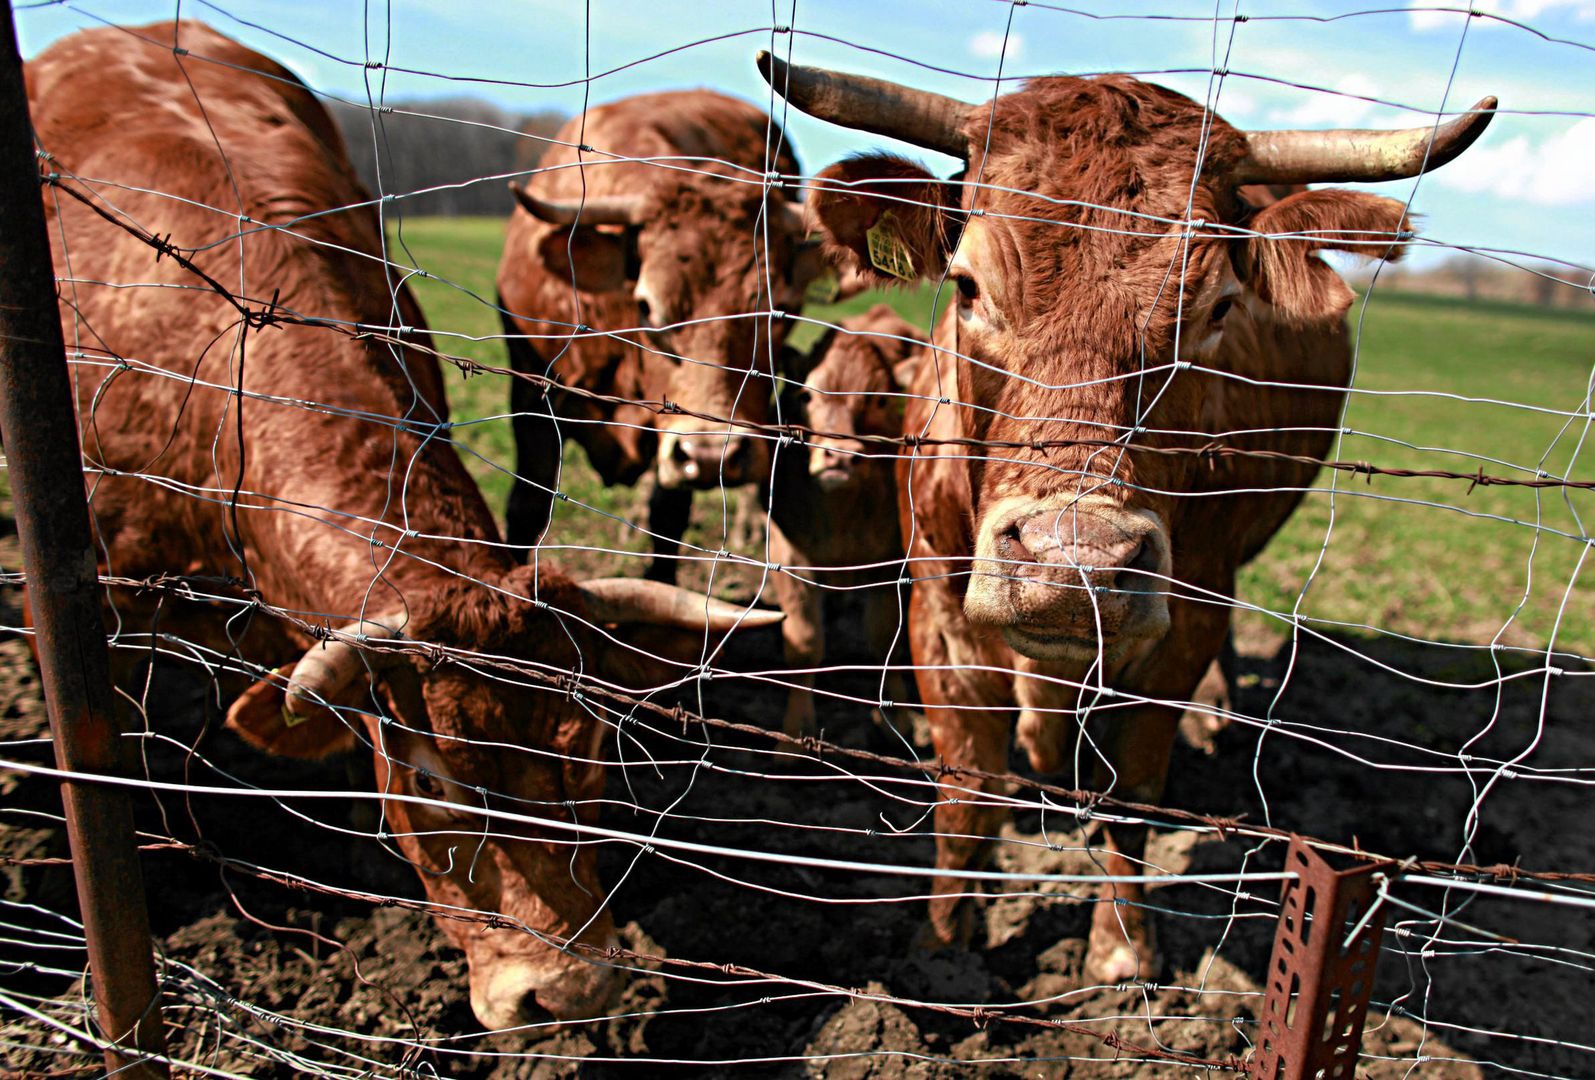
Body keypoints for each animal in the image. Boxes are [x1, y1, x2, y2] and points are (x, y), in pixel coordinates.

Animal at [497, 92, 829, 577]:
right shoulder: (532, 395)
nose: (710, 455)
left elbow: (668, 520)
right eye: (646, 306)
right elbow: (526, 506)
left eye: (777, 313)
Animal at [768, 303, 931, 733]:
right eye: (805, 395)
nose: (839, 457)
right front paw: (794, 731)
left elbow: (884, 637)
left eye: (879, 401)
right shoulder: (787, 554)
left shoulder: (890, 560)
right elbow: (804, 642)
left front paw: (899, 716)